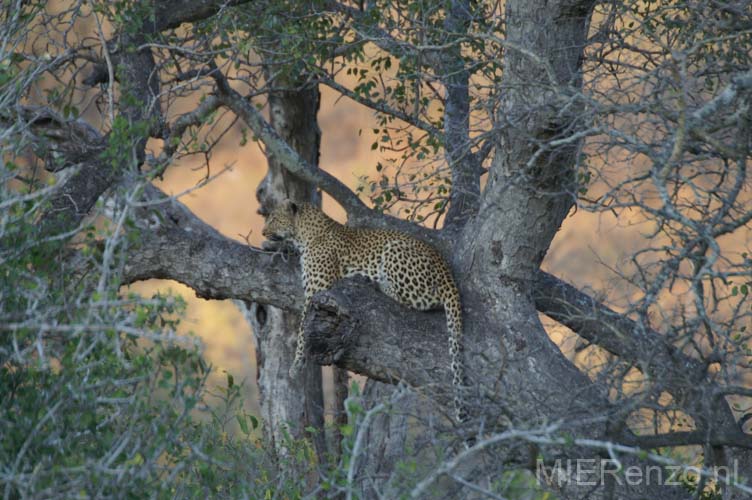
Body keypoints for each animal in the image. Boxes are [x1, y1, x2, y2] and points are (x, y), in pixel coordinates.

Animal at [262, 199, 468, 422]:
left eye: (273, 219)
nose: (263, 232)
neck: (305, 235)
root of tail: (447, 273)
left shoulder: (317, 291)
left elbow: (302, 329)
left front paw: (296, 364)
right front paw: (270, 245)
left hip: (395, 251)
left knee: (416, 299)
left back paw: (375, 282)